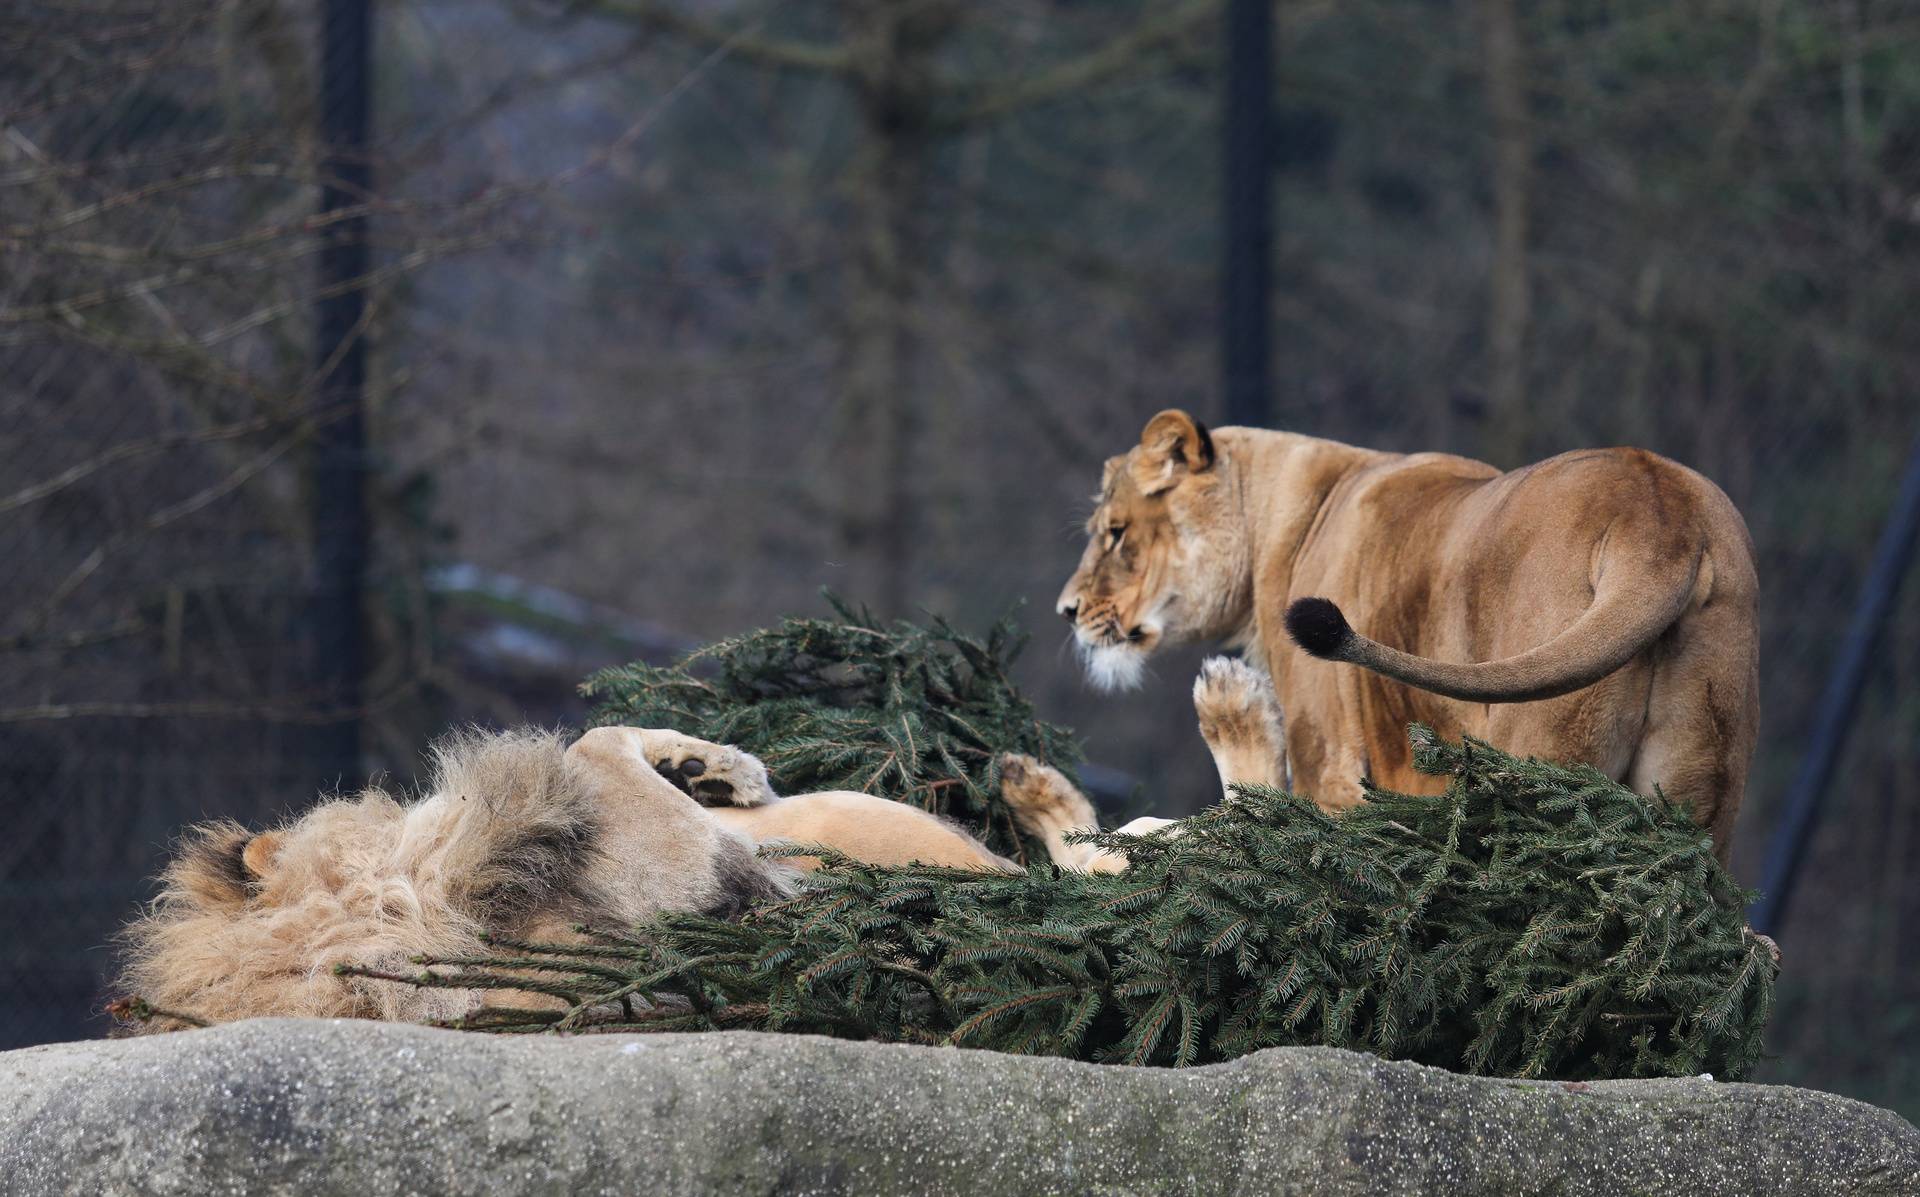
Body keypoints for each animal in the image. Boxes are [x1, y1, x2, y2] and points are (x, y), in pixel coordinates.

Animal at [1059, 411, 1758, 860]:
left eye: (1115, 533)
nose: (1067, 609)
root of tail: (1659, 511)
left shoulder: (1328, 762)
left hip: (1542, 755)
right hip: (1702, 794)